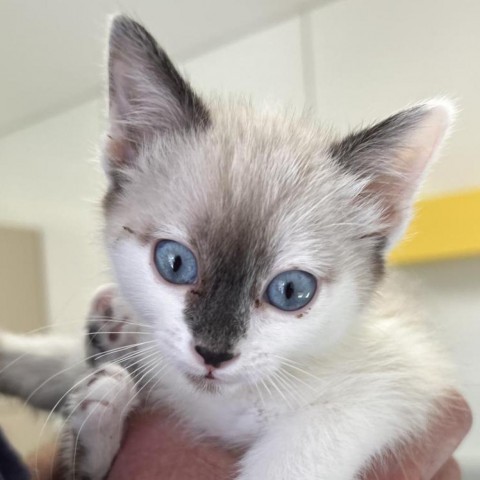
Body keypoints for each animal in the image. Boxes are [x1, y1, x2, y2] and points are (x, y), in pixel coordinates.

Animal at [0, 15, 458, 480]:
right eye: (175, 263)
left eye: (291, 291)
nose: (212, 355)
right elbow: (40, 363)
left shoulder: (387, 380)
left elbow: (295, 457)